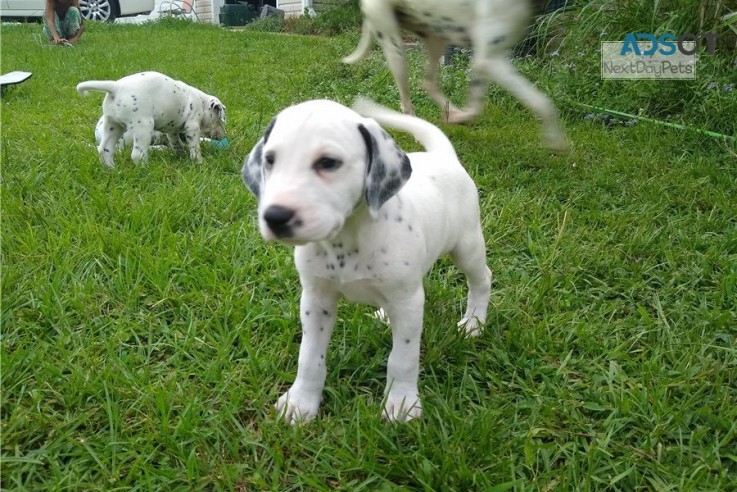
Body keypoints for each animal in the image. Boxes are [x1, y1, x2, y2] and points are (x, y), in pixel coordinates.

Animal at [76, 71, 227, 167]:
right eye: (220, 120)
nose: (223, 136)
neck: (201, 101)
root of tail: (116, 87)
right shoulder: (192, 126)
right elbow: (195, 147)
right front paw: (198, 162)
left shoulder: (172, 131)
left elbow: (177, 143)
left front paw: (180, 153)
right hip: (143, 127)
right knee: (137, 154)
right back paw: (146, 169)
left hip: (113, 126)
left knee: (104, 149)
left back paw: (111, 169)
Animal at [242, 97, 492, 422]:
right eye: (270, 160)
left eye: (328, 162)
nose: (275, 217)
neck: (346, 240)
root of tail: (444, 158)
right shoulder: (316, 300)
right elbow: (309, 357)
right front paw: (301, 402)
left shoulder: (409, 304)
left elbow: (402, 358)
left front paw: (402, 403)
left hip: (467, 246)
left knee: (482, 279)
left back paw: (474, 322)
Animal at [342, 0, 568, 151]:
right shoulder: (491, 60)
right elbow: (542, 102)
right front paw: (556, 141)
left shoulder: (485, 61)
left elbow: (476, 108)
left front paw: (459, 117)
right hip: (396, 51)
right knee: (406, 103)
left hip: (435, 39)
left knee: (428, 83)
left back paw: (451, 111)